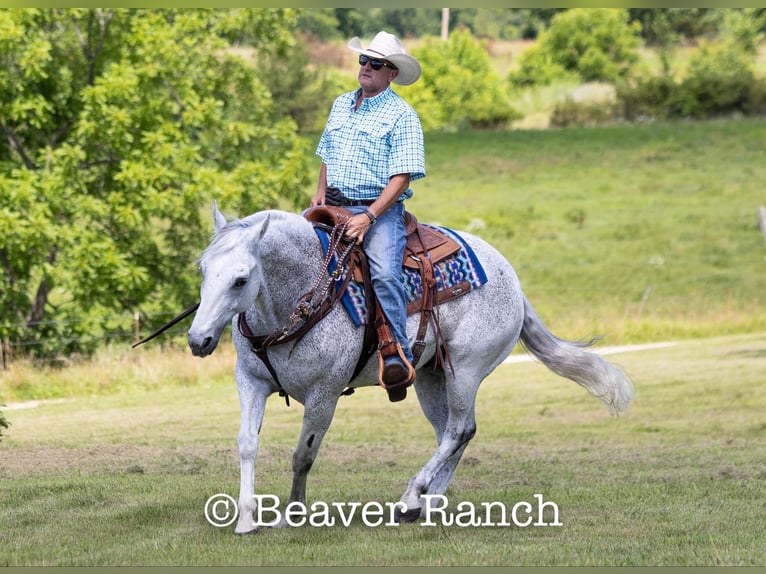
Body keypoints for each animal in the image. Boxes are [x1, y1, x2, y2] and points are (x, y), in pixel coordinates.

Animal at [187, 203, 634, 534]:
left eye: (240, 279)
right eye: (203, 270)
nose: (198, 339)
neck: (296, 300)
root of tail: (512, 280)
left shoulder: (324, 394)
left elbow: (303, 455)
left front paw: (291, 515)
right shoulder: (250, 381)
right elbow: (247, 443)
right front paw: (246, 520)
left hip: (465, 370)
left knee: (459, 430)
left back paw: (411, 498)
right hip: (432, 376)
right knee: (451, 434)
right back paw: (428, 504)